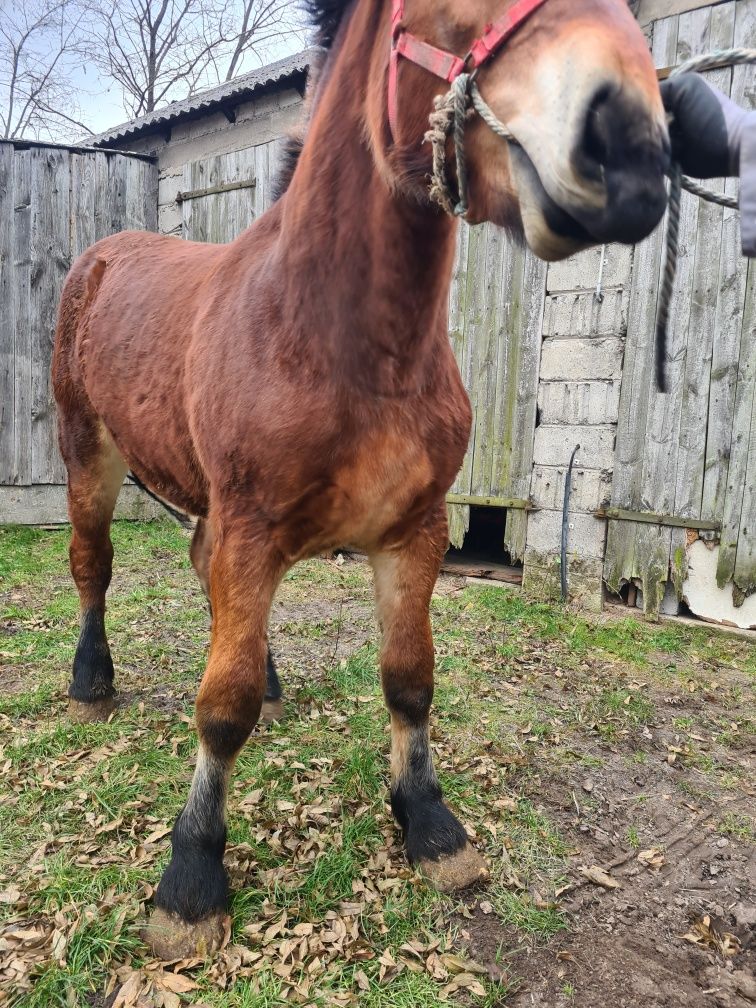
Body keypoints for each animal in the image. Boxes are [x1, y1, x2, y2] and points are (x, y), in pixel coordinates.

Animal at [51, 0, 669, 955]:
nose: (633, 151)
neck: (342, 343)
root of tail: (102, 254)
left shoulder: (413, 531)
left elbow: (409, 677)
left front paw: (430, 824)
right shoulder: (252, 528)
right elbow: (219, 705)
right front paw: (191, 881)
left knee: (205, 580)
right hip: (90, 454)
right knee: (94, 566)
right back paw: (92, 685)